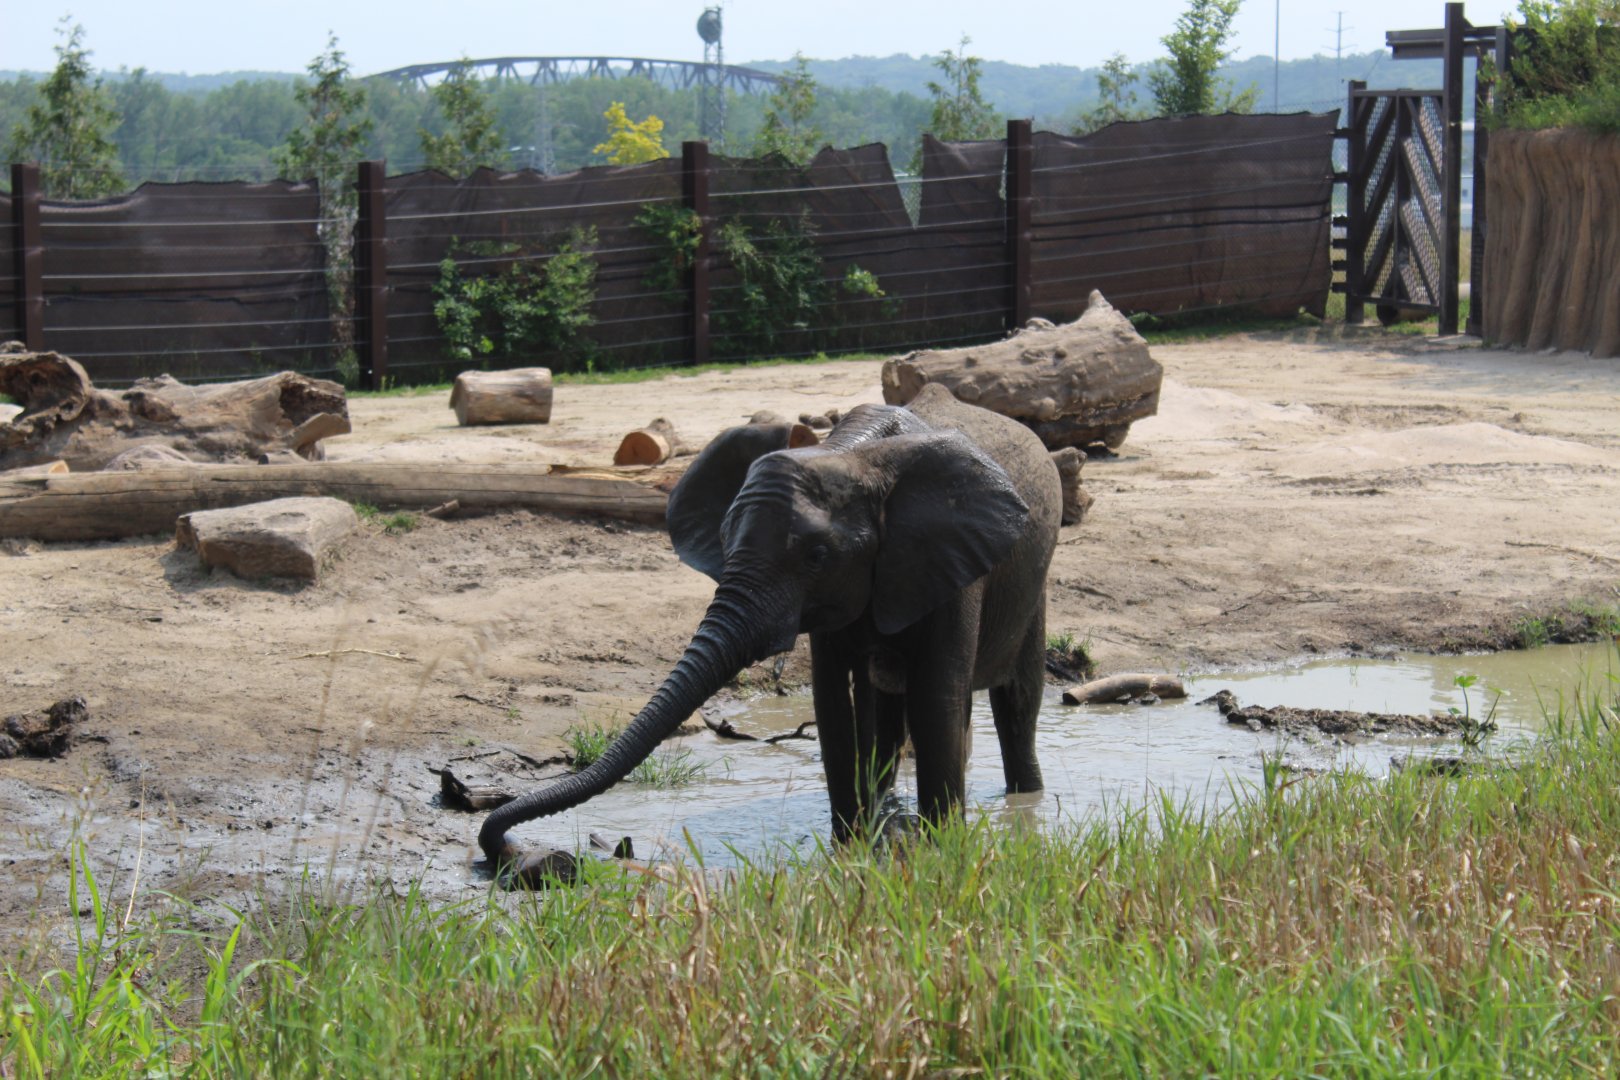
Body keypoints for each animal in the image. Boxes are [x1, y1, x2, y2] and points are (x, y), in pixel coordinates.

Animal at [479, 382, 1062, 865]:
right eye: (725, 537)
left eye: (817, 557)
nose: (506, 848)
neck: (849, 453)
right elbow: (832, 705)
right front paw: (852, 850)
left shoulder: (950, 565)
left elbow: (937, 698)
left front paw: (939, 852)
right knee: (885, 708)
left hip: (1035, 580)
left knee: (1016, 701)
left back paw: (1021, 798)